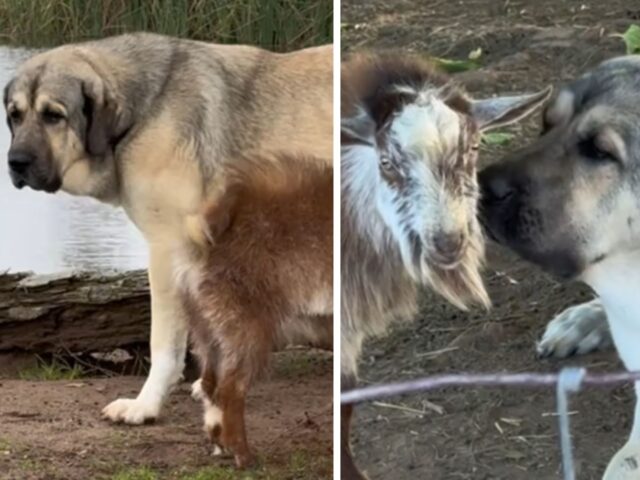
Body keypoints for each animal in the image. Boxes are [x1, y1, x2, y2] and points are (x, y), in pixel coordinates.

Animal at [5, 32, 332, 424]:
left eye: (53, 116)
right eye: (14, 115)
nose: (15, 162)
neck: (144, 110)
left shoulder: (167, 248)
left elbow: (165, 343)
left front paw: (145, 405)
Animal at [176, 155, 332, 468]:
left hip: (207, 328)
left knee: (211, 384)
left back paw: (220, 442)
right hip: (246, 325)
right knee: (231, 390)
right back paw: (243, 454)